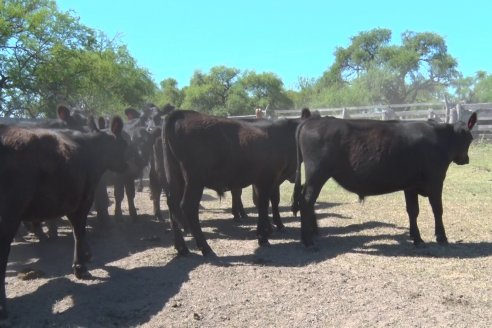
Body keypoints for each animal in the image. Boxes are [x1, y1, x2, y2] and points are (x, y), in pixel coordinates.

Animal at [0, 116, 127, 320]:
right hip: (10, 212)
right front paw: (81, 267)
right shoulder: (83, 199)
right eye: (124, 144)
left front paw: (84, 258)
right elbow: (79, 231)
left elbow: (77, 231)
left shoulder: (70, 201)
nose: (126, 165)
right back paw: (3, 307)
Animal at [161, 109, 304, 255]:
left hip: (175, 175)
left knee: (172, 204)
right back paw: (206, 248)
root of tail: (181, 113)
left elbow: (263, 203)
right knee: (188, 206)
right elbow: (266, 204)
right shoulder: (269, 179)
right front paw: (265, 235)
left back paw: (182, 248)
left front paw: (268, 230)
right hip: (194, 180)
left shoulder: (263, 181)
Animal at [292, 114, 476, 247]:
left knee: (303, 198)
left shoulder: (410, 185)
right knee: (307, 200)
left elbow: (412, 211)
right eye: (470, 139)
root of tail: (312, 121)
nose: (465, 159)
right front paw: (441, 237)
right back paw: (308, 241)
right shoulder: (435, 181)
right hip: (317, 174)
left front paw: (416, 238)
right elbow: (437, 209)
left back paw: (309, 234)